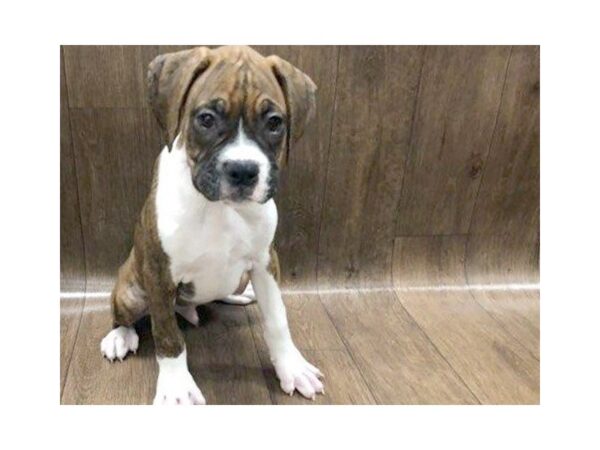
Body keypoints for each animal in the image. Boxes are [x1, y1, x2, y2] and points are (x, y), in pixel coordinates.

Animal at [99, 45, 324, 404]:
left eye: (275, 123)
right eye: (206, 119)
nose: (243, 171)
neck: (220, 209)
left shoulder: (266, 262)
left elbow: (277, 319)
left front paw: (292, 366)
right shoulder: (160, 273)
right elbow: (168, 336)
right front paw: (177, 388)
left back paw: (239, 295)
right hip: (132, 290)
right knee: (124, 315)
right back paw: (120, 337)